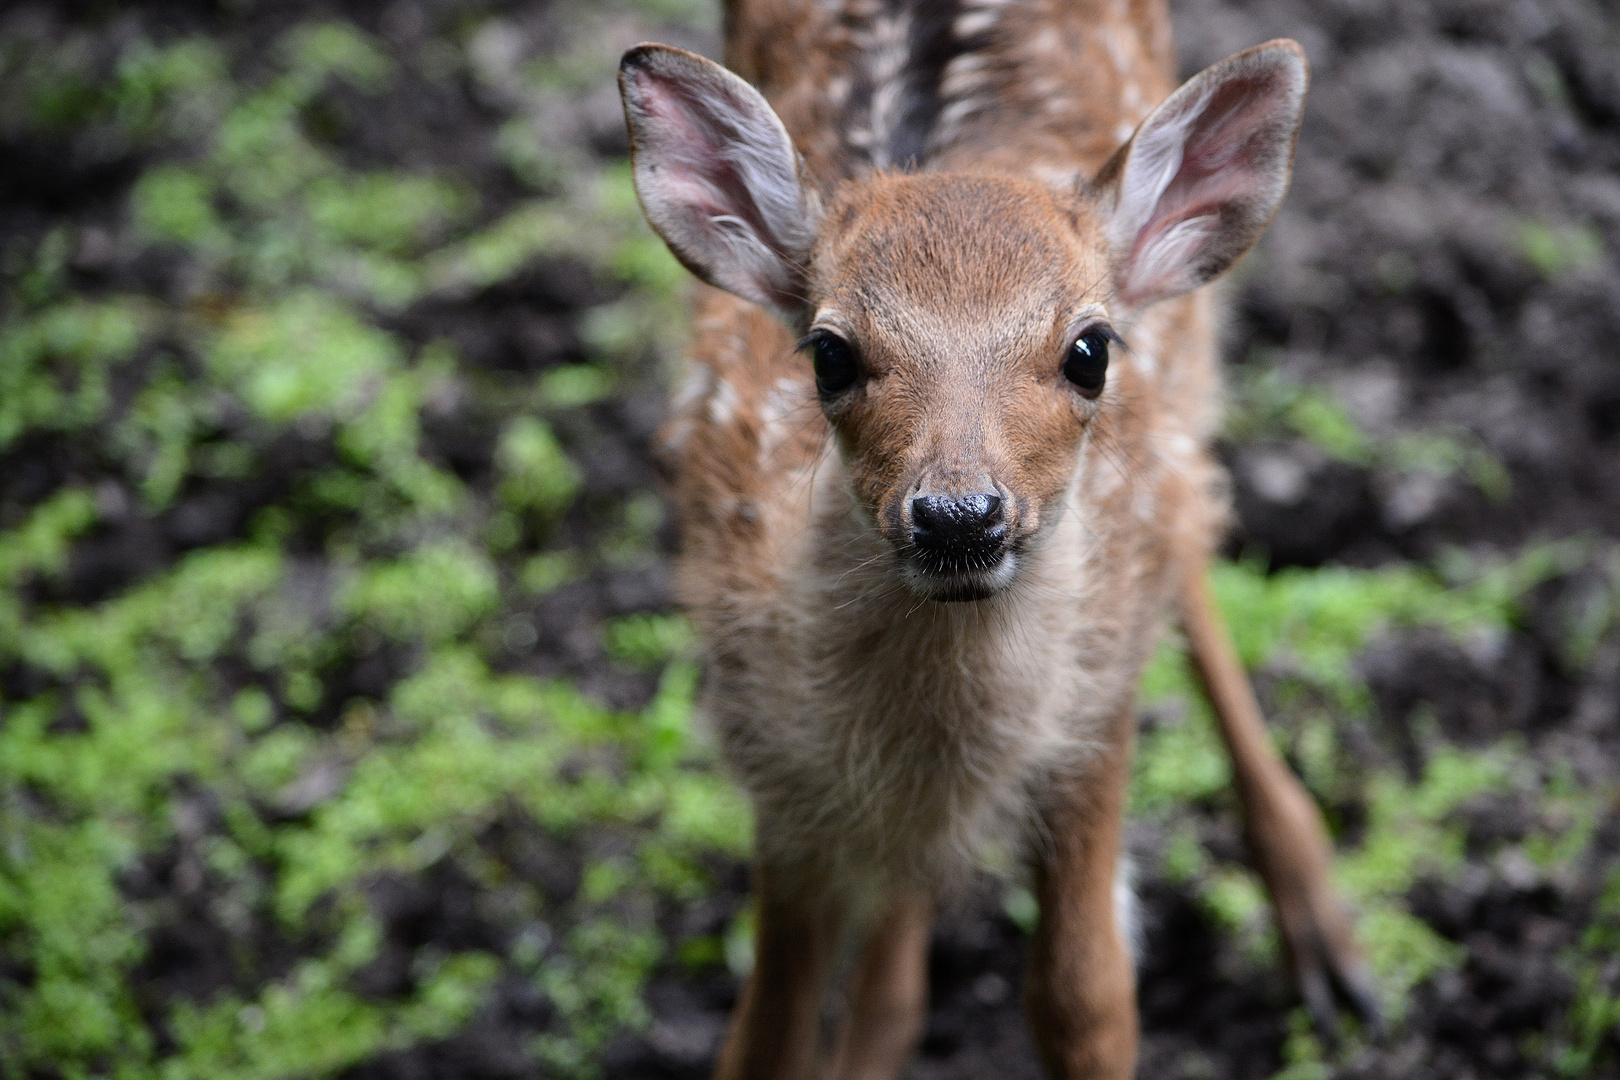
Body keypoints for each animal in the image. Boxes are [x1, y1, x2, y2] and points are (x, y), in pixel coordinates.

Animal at [618, 4, 1380, 1075]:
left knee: (1193, 528)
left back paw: (1329, 946)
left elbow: (1084, 997)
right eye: (829, 353)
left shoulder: (1092, 722)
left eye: (1089, 350)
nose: (959, 517)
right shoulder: (776, 771)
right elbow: (764, 1037)